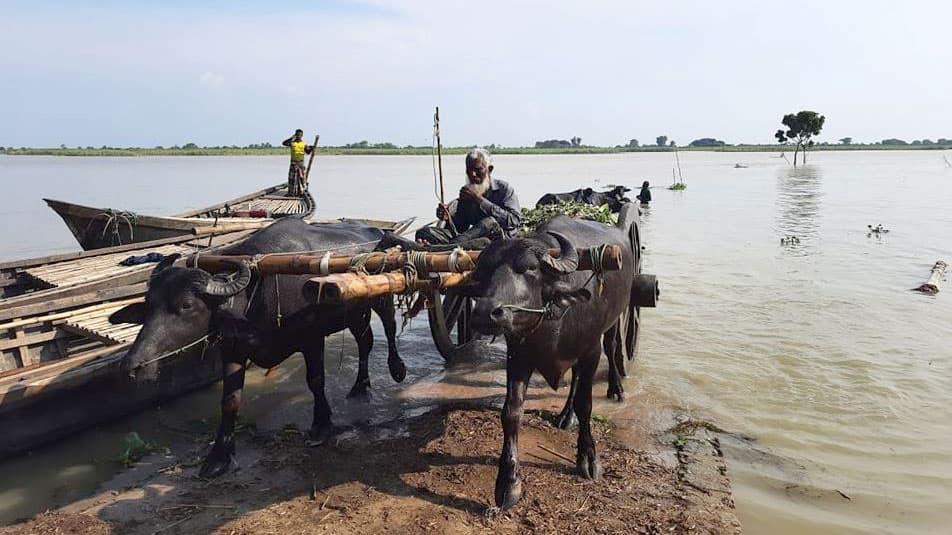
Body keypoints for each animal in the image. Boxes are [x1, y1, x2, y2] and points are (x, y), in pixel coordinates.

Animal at [108, 217, 406, 478]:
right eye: (149, 305)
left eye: (186, 305)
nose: (132, 367)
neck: (259, 289)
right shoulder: (233, 349)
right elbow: (229, 401)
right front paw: (219, 458)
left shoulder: (312, 338)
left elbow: (316, 380)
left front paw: (321, 425)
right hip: (356, 313)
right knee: (365, 341)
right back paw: (360, 387)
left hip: (382, 299)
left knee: (389, 330)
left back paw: (396, 369)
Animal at [468, 203, 640, 508]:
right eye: (485, 271)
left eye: (530, 268)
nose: (485, 312)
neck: (553, 322)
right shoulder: (518, 356)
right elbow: (511, 413)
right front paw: (508, 483)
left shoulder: (590, 350)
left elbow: (586, 404)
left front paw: (588, 460)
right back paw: (565, 415)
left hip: (617, 318)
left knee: (613, 349)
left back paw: (616, 388)